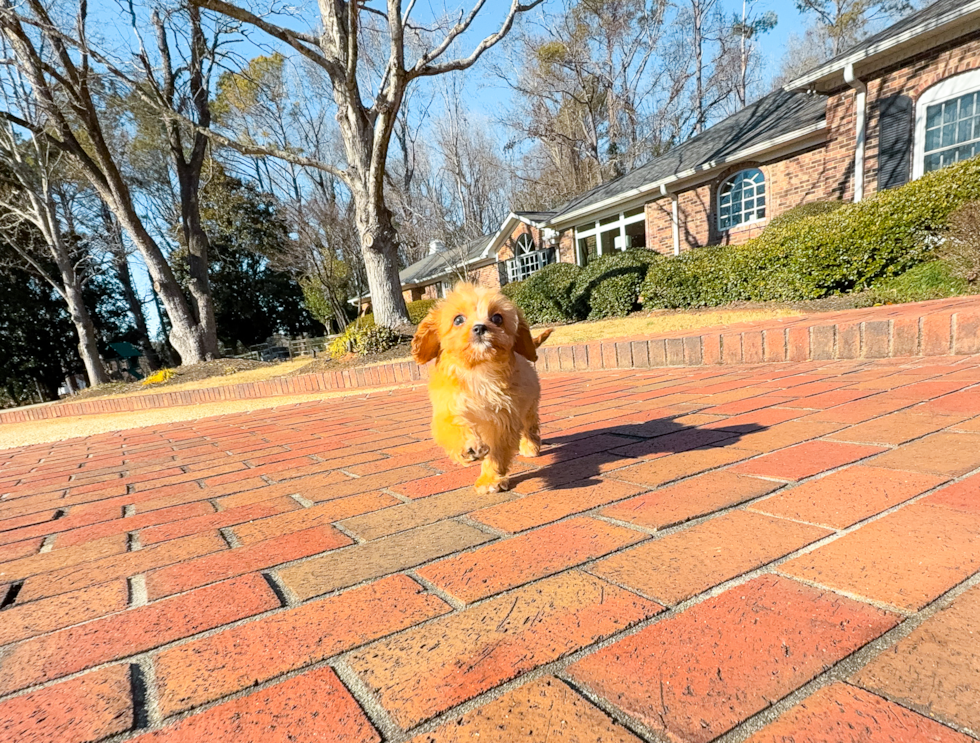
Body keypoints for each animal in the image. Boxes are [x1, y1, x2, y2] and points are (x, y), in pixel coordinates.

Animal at [412, 284, 552, 494]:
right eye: (458, 319)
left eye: (497, 318)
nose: (480, 327)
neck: (478, 371)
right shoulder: (449, 407)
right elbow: (452, 426)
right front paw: (469, 446)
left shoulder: (503, 419)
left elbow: (497, 452)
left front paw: (490, 480)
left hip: (529, 404)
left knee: (530, 425)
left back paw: (530, 446)